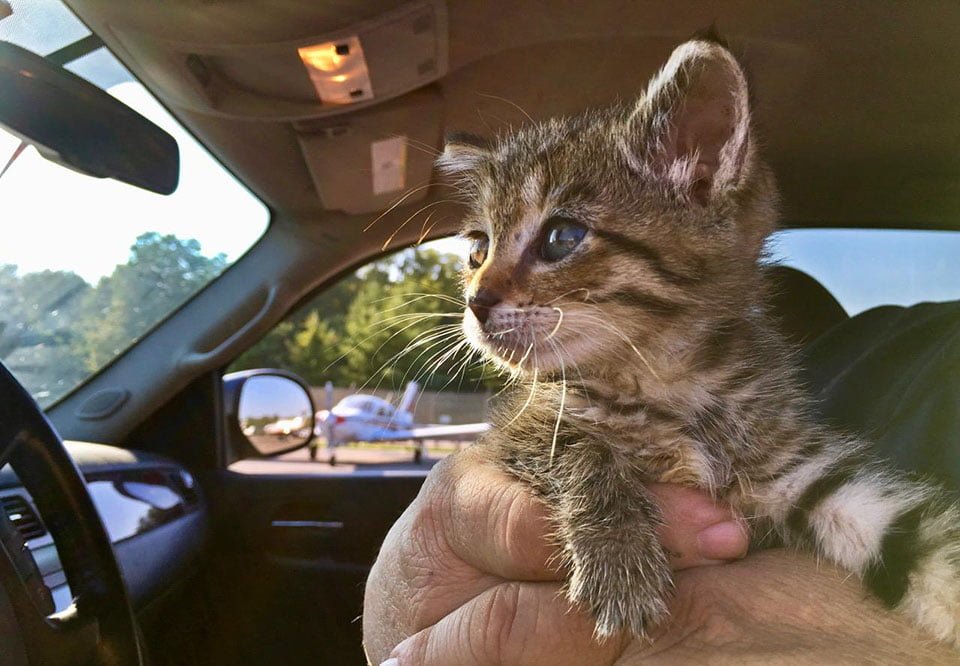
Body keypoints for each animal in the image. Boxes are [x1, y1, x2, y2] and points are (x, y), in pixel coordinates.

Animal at [436, 37, 960, 644]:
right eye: (478, 249)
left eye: (562, 237)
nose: (476, 301)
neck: (668, 381)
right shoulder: (513, 431)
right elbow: (575, 444)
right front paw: (618, 555)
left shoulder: (792, 470)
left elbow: (916, 538)